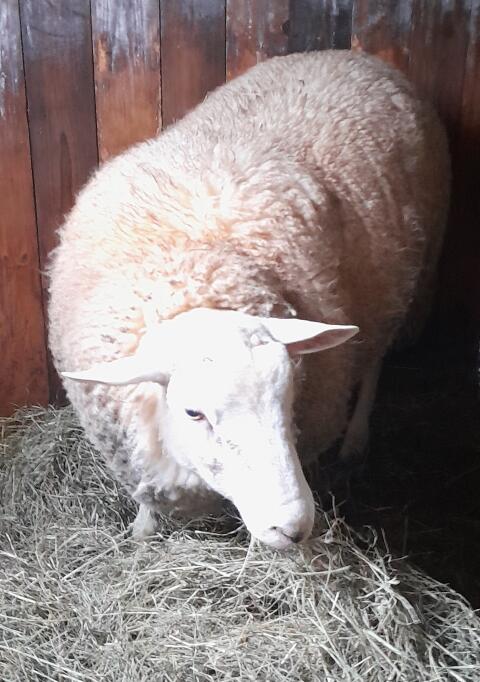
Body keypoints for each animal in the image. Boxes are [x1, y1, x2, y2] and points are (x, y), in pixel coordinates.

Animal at [48, 50, 450, 549]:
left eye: (289, 394)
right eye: (193, 413)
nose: (292, 527)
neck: (195, 270)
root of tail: (356, 55)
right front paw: (142, 528)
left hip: (402, 278)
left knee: (375, 358)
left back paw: (356, 439)